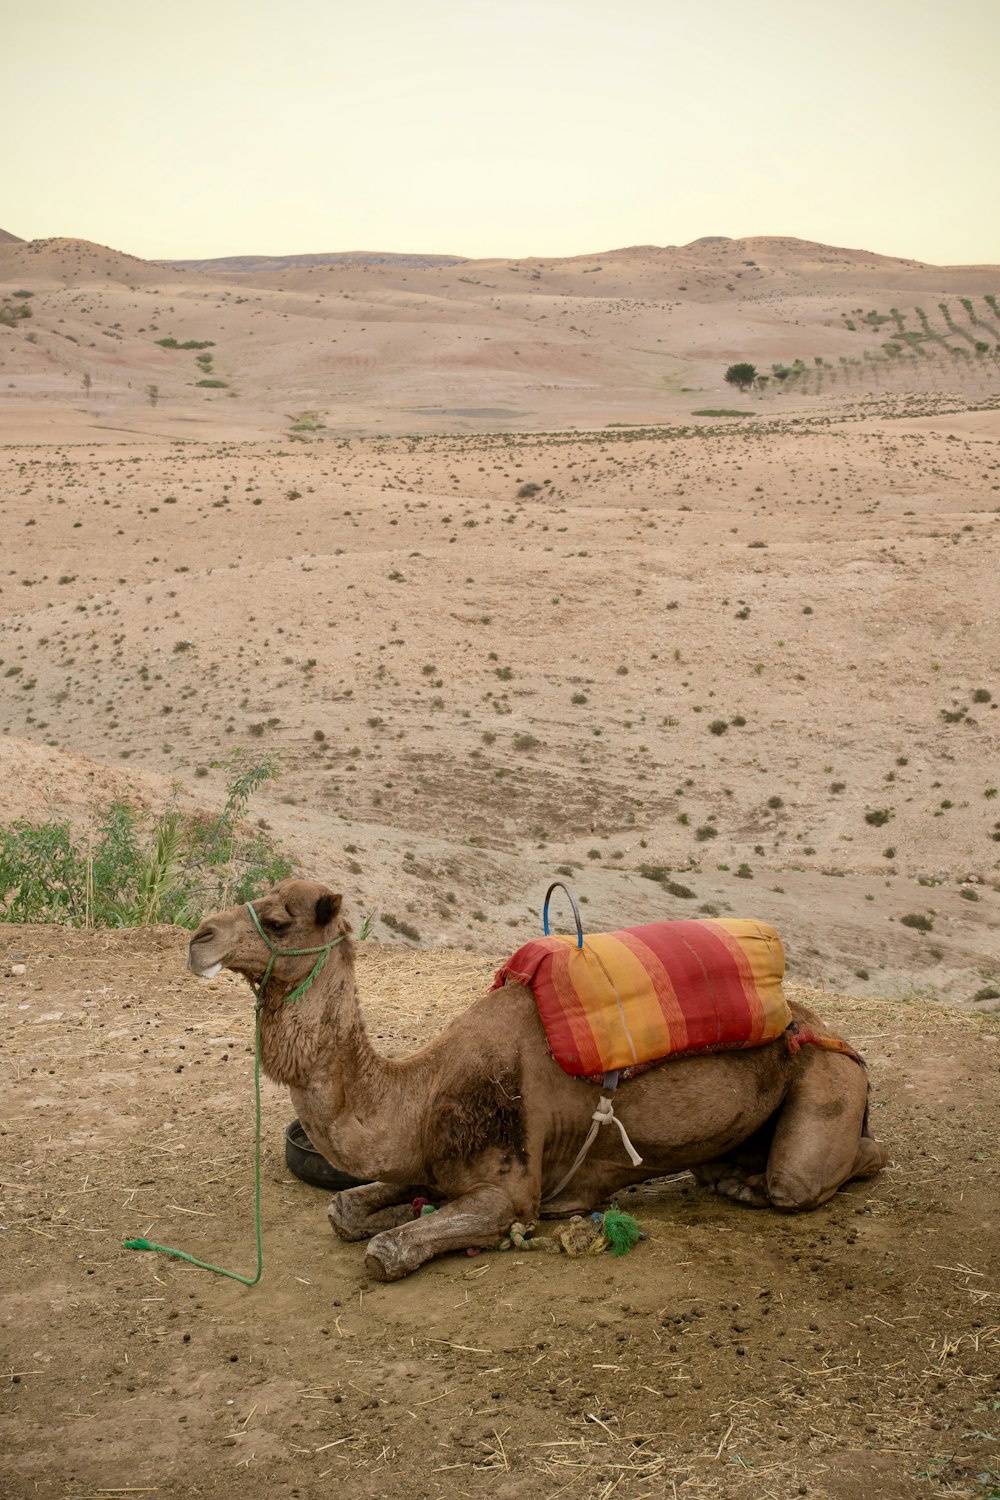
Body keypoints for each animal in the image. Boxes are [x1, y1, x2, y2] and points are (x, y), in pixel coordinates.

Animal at [189, 876, 893, 1278]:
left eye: (277, 920)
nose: (199, 937)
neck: (421, 1094)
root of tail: (818, 1025)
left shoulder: (510, 1190)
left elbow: (388, 1250)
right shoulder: (429, 1162)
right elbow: (343, 1209)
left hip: (829, 1080)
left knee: (816, 1174)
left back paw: (763, 1184)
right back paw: (731, 1179)